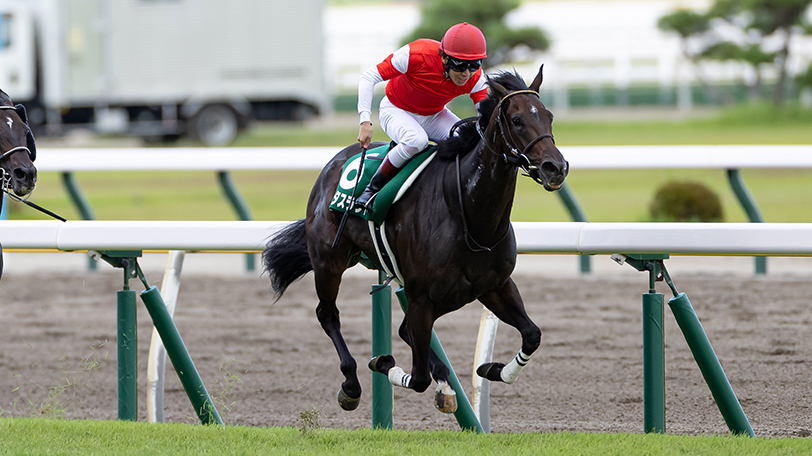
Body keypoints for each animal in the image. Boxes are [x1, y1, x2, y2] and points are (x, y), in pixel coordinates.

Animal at [264, 67, 568, 414]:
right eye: (517, 120)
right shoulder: (422, 298)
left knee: (403, 330)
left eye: (548, 115)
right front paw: (384, 363)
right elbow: (417, 376)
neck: (470, 217)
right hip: (329, 261)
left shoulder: (495, 285)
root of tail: (336, 161)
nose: (555, 167)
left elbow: (532, 334)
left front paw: (492, 369)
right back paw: (352, 385)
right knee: (328, 314)